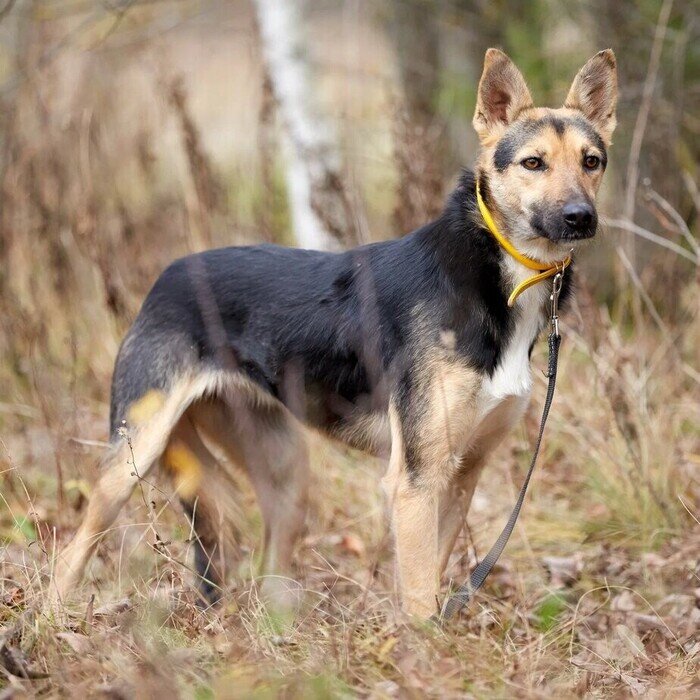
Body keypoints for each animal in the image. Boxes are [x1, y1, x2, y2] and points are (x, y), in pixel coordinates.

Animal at [52, 47, 616, 616]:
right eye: (533, 163)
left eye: (592, 161)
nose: (581, 217)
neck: (497, 278)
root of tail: (165, 278)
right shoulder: (415, 481)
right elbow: (419, 601)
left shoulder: (460, 476)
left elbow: (430, 583)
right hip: (131, 457)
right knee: (71, 553)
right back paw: (51, 619)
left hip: (286, 477)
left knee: (268, 569)